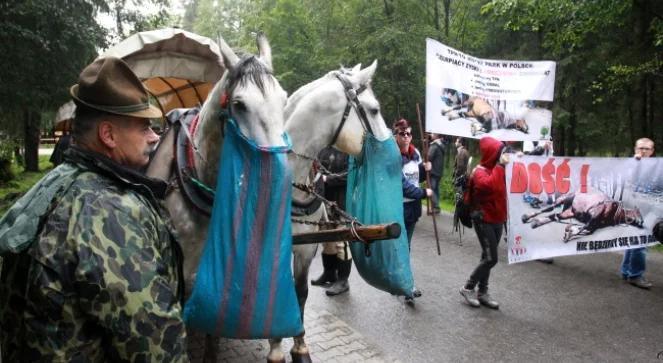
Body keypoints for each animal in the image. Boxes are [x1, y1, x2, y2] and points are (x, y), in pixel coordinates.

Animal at [268, 61, 394, 362]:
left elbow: (299, 293)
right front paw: (275, 348)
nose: (390, 158)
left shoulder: (304, 248)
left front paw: (300, 347)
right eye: (374, 109)